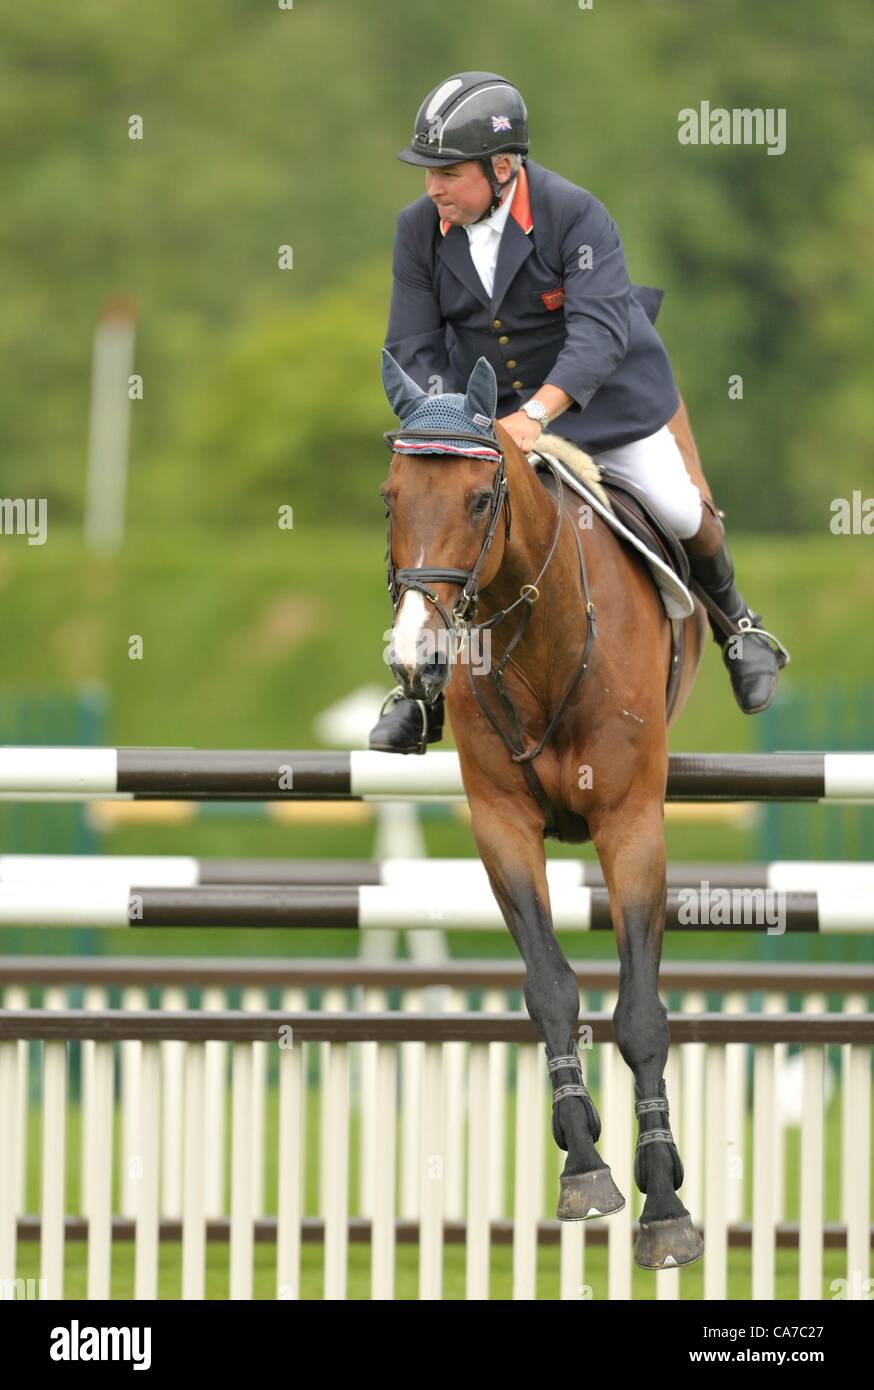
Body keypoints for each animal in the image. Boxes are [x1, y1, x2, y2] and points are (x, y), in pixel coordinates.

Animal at [377, 350, 705, 1273]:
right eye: (390, 497)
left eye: (478, 501)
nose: (414, 656)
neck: (543, 644)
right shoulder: (503, 826)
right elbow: (551, 987)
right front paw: (585, 1157)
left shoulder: (632, 825)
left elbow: (641, 1013)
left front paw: (665, 1203)